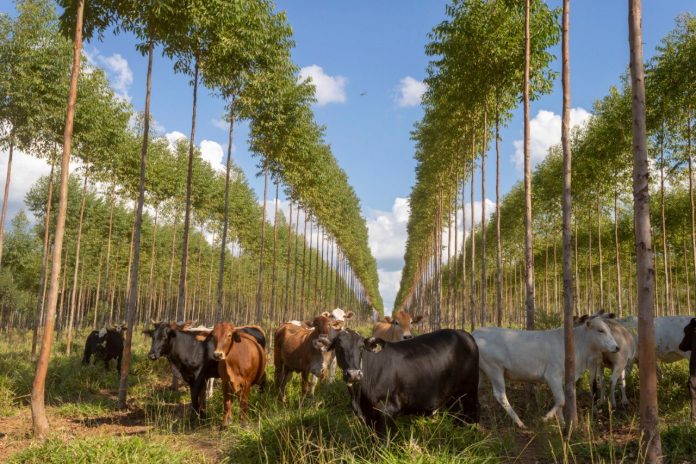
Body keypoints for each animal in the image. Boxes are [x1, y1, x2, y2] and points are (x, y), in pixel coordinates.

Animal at [326, 326, 478, 436]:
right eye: (338, 347)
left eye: (361, 347)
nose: (354, 374)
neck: (358, 397)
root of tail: (464, 333)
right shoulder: (369, 416)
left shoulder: (386, 412)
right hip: (453, 396)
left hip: (469, 391)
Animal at [474, 318, 620, 430]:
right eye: (600, 330)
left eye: (609, 330)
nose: (617, 347)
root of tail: (475, 332)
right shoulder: (552, 375)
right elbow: (561, 400)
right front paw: (545, 418)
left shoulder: (561, 379)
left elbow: (560, 400)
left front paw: (562, 423)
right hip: (494, 369)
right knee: (500, 395)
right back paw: (520, 422)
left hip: (481, 372)